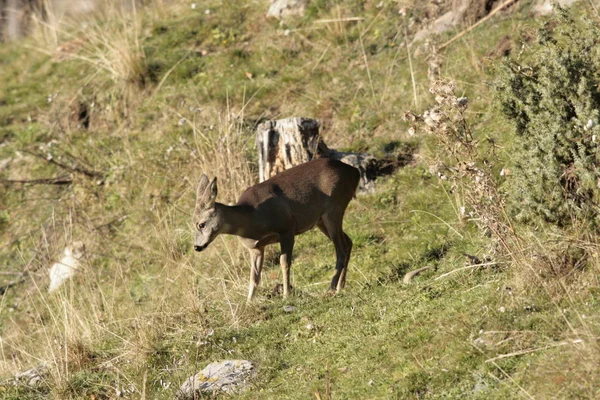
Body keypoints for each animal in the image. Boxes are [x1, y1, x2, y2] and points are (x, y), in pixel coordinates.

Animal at [195, 158, 358, 302]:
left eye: (201, 224)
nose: (197, 246)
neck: (252, 218)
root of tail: (354, 172)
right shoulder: (256, 247)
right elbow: (254, 276)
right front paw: (249, 302)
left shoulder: (287, 229)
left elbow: (284, 263)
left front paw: (286, 295)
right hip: (321, 220)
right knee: (348, 242)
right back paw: (341, 286)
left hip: (334, 208)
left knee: (340, 249)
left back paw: (332, 288)